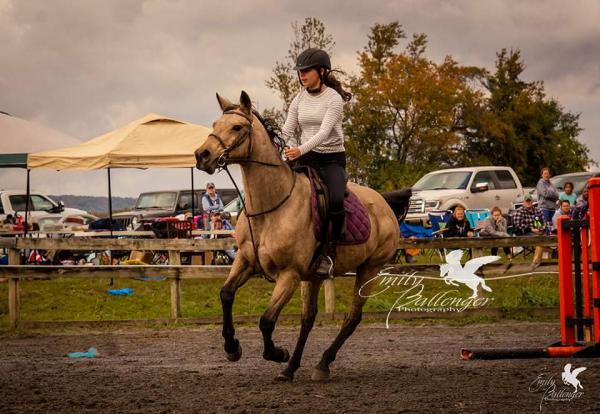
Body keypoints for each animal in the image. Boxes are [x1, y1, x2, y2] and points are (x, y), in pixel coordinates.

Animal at [195, 90, 410, 382]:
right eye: (215, 125)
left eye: (237, 127)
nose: (202, 155)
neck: (270, 208)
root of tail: (384, 203)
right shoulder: (246, 262)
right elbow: (226, 295)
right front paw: (232, 348)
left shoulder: (289, 274)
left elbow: (266, 320)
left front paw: (277, 353)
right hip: (315, 277)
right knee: (308, 319)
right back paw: (292, 368)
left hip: (370, 270)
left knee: (352, 318)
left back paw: (322, 364)